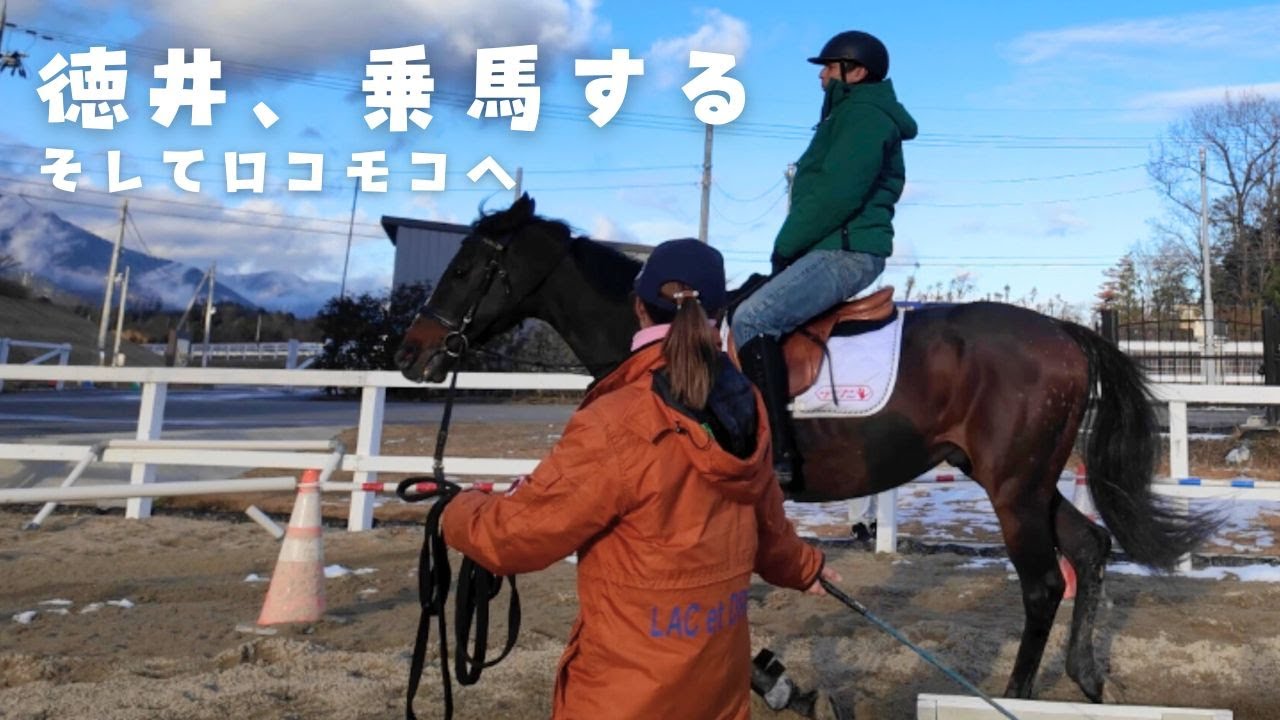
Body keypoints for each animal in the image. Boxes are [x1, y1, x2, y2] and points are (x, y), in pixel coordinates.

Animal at [394, 195, 1218, 704]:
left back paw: (1017, 695)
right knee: (1091, 547)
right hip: (1026, 481)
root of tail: (1066, 332)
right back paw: (1084, 680)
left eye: (465, 267)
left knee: (1046, 584)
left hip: (1012, 487)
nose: (412, 353)